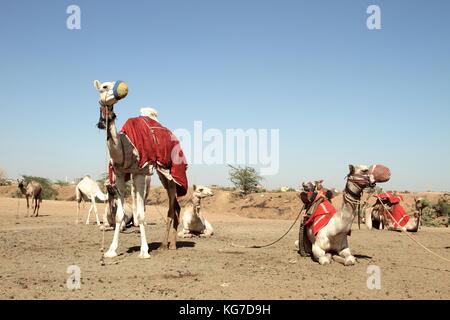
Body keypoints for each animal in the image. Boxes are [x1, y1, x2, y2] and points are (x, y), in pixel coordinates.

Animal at [93, 80, 188, 260]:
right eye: (104, 87)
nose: (123, 89)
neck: (123, 147)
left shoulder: (140, 173)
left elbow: (142, 215)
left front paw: (144, 251)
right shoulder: (120, 174)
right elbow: (119, 216)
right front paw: (111, 250)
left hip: (171, 172)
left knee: (172, 206)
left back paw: (168, 246)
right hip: (162, 173)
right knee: (176, 206)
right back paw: (168, 244)